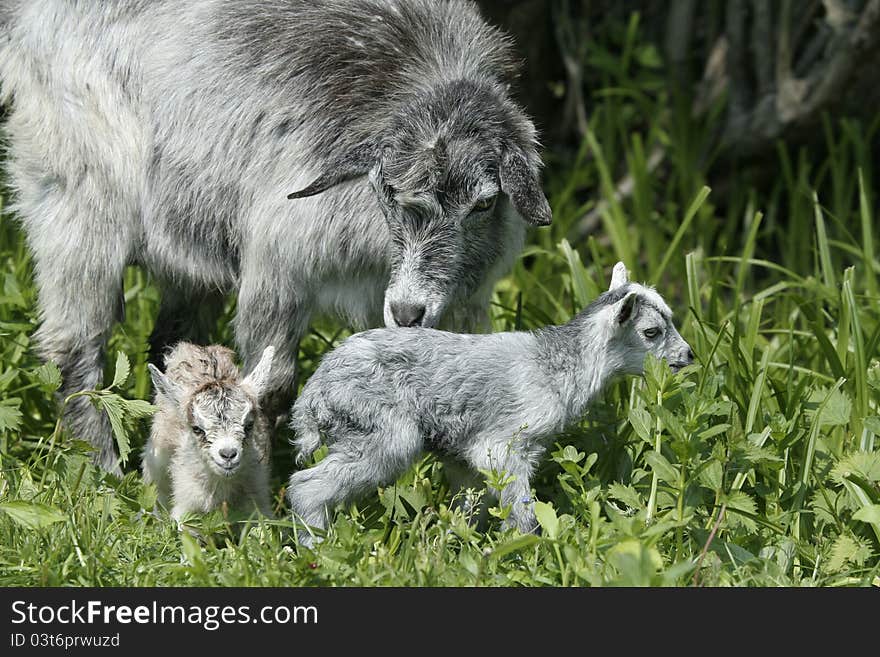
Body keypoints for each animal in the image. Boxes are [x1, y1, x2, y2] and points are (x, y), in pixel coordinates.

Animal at [0, 0, 552, 472]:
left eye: (484, 202)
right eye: (385, 188)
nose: (407, 312)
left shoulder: (463, 304)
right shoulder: (277, 271)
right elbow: (272, 385)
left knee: (173, 344)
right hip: (78, 201)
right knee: (75, 346)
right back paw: (101, 467)